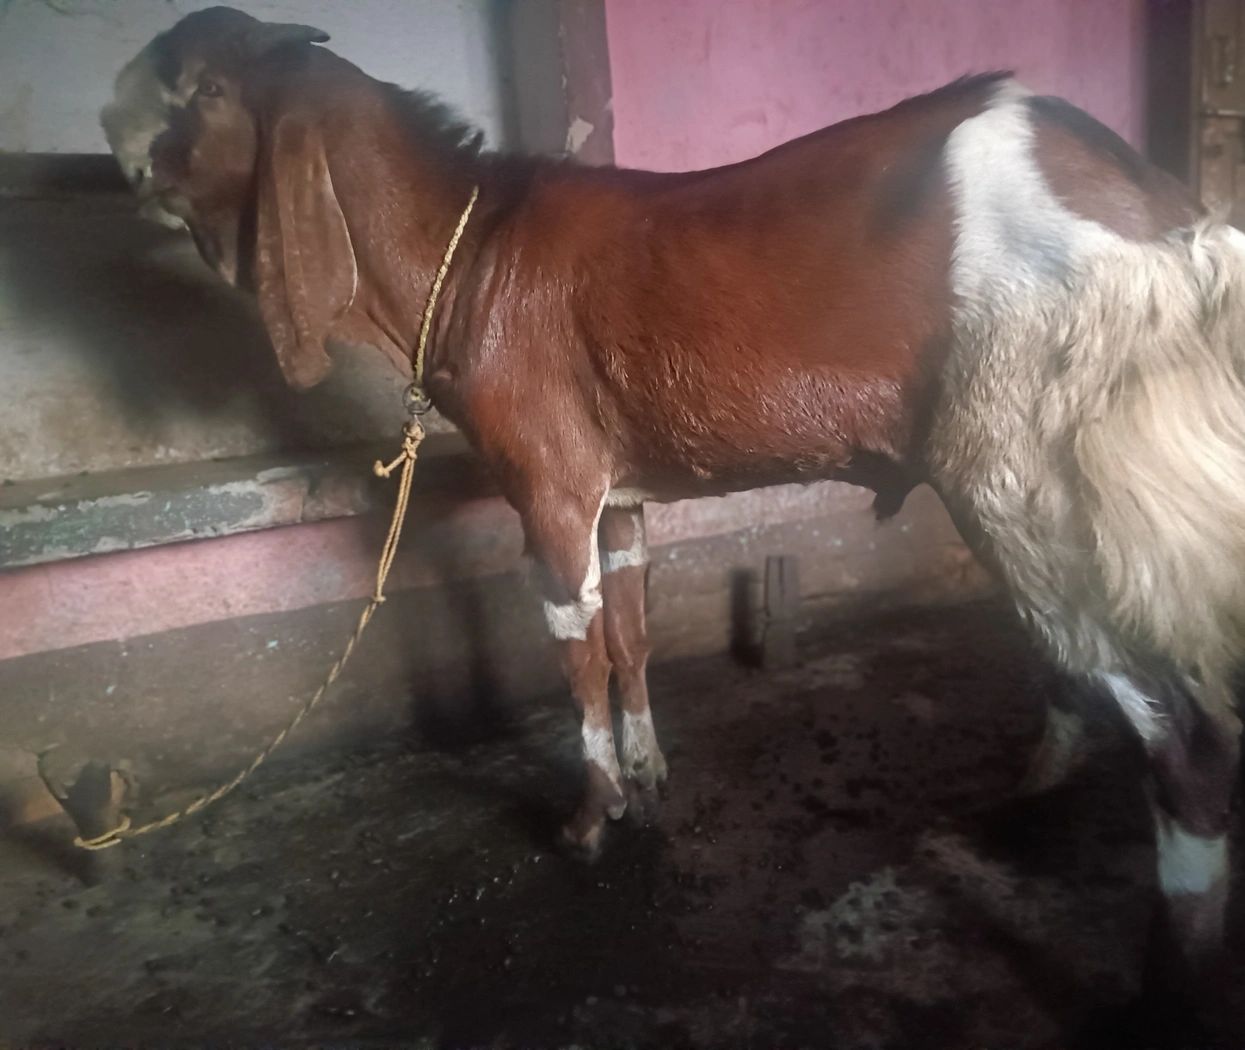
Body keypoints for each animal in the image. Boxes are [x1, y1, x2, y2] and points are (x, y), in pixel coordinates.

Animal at [104, 7, 1242, 1015]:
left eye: (196, 87)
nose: (113, 146)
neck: (468, 254)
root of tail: (1174, 227)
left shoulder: (549, 482)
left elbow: (574, 648)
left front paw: (590, 816)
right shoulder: (619, 498)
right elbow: (629, 631)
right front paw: (650, 773)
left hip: (1029, 478)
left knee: (1185, 739)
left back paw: (1166, 987)